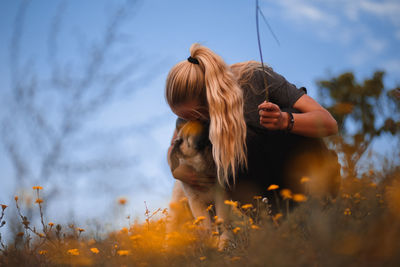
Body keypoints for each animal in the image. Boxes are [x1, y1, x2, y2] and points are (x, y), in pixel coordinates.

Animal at [167, 118, 233, 250]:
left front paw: (223, 242)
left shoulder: (220, 197)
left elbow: (221, 220)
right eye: (191, 132)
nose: (207, 121)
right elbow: (205, 226)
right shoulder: (196, 203)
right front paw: (211, 242)